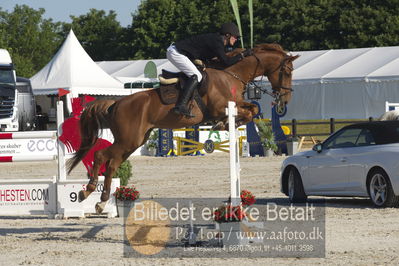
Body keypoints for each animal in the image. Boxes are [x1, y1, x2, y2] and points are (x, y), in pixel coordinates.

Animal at [68, 44, 300, 214]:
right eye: (287, 71)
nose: (286, 99)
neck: (232, 74)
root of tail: (116, 103)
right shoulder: (219, 106)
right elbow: (249, 110)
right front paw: (224, 123)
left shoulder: (235, 104)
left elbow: (253, 109)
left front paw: (228, 124)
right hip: (128, 140)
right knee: (100, 155)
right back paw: (89, 192)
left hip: (134, 141)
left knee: (112, 164)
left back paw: (101, 201)